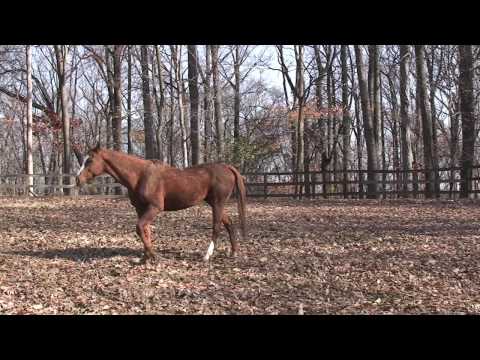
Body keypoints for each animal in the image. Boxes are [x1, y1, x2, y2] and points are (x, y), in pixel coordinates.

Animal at [77, 146, 248, 264]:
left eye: (89, 160)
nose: (77, 179)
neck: (140, 175)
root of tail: (227, 167)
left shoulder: (155, 208)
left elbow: (140, 228)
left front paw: (153, 256)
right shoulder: (140, 209)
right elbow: (145, 230)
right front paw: (145, 257)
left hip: (218, 203)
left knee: (216, 227)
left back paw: (206, 255)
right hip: (214, 203)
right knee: (229, 223)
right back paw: (233, 252)